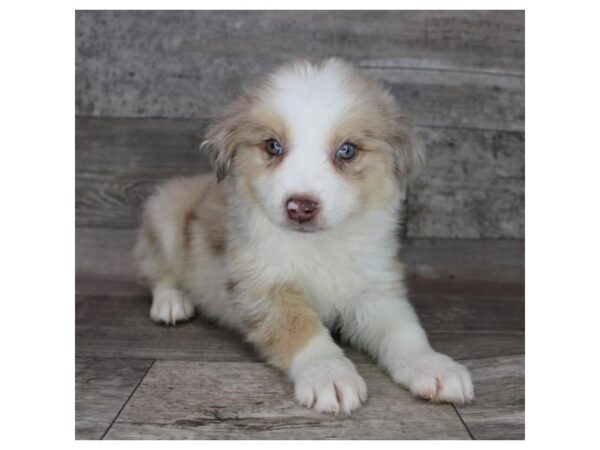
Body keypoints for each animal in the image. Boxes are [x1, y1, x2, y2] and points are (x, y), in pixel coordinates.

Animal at [135, 59, 474, 414]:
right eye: (273, 146)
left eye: (347, 150)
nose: (300, 207)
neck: (319, 244)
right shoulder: (264, 287)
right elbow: (304, 331)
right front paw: (329, 376)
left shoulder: (374, 290)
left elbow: (405, 332)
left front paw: (433, 367)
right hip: (165, 213)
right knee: (156, 271)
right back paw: (171, 303)